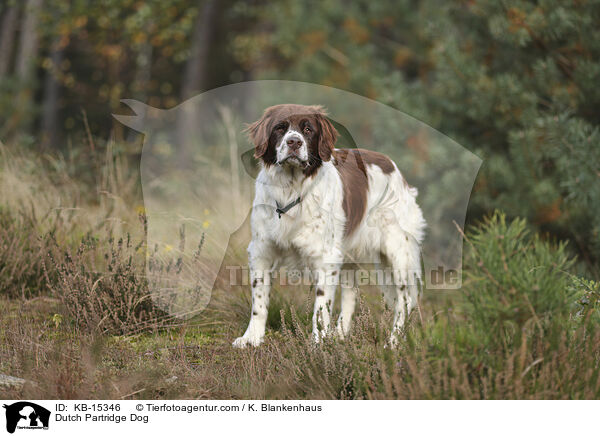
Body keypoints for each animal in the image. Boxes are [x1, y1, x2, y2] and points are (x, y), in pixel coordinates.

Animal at [232, 103, 424, 348]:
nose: (294, 142)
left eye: (307, 129)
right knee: (351, 293)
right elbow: (259, 301)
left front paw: (318, 342)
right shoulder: (261, 250)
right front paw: (252, 338)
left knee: (405, 300)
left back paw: (393, 342)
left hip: (398, 253)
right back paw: (340, 334)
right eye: (280, 128)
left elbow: (322, 306)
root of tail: (393, 167)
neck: (291, 191)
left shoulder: (326, 257)